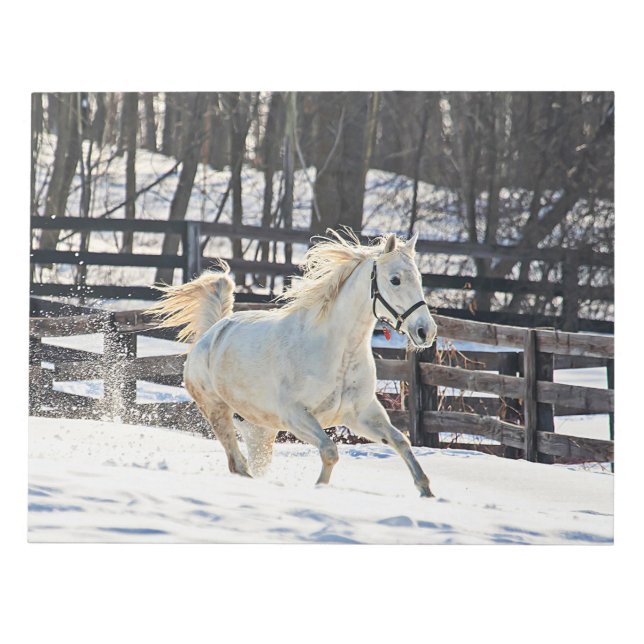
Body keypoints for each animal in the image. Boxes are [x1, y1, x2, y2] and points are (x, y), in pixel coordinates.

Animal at [148, 230, 438, 497]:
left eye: (420, 278)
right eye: (395, 280)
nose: (426, 331)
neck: (338, 352)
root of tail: (211, 333)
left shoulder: (361, 414)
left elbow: (401, 441)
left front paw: (427, 492)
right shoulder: (296, 416)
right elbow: (330, 451)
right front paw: (319, 488)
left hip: (260, 429)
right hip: (217, 411)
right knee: (237, 463)